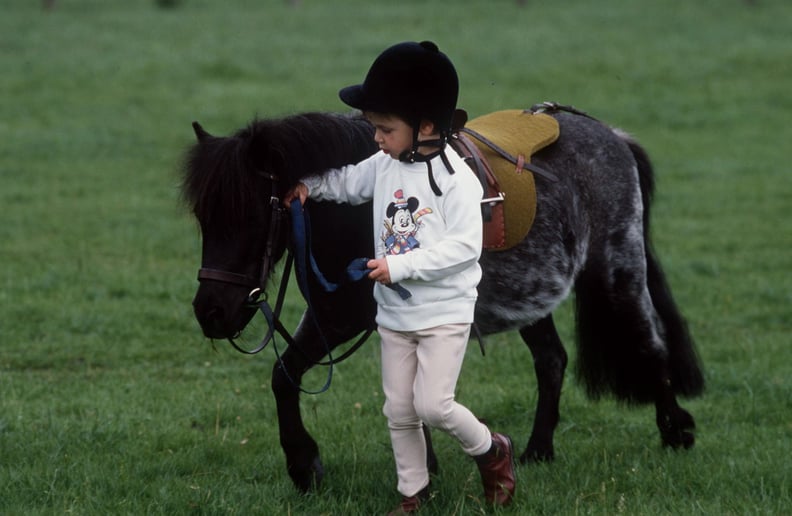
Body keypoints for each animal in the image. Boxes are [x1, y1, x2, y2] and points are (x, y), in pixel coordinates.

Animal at [183, 106, 704, 492]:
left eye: (252, 215)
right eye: (203, 219)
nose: (211, 312)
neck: (353, 215)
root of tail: (613, 135)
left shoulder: (340, 318)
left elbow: (291, 374)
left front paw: (306, 465)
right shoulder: (349, 317)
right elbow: (302, 378)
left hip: (617, 266)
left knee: (649, 341)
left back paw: (676, 430)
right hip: (532, 294)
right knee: (552, 360)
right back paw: (538, 450)